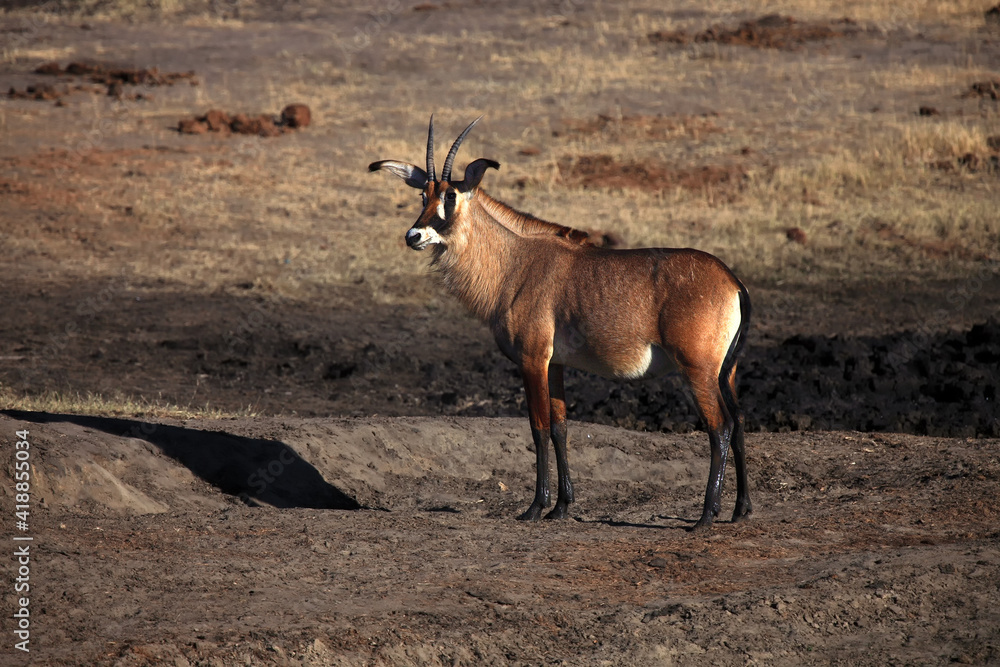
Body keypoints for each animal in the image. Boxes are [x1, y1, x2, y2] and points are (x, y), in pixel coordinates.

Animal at [369, 116, 752, 530]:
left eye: (451, 196)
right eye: (422, 196)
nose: (414, 236)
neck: (514, 262)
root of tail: (732, 282)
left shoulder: (533, 359)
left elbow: (537, 429)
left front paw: (536, 507)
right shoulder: (555, 365)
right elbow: (560, 427)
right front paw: (562, 506)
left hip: (697, 370)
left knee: (720, 426)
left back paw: (706, 515)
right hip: (725, 373)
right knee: (739, 420)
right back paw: (741, 509)